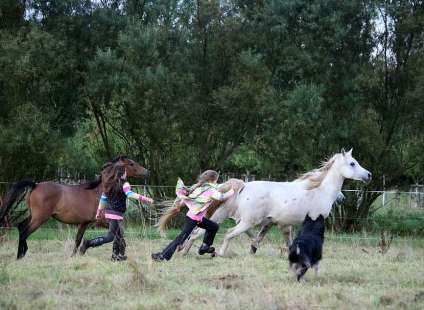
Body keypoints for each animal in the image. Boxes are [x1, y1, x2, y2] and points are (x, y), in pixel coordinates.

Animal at [0, 155, 150, 260]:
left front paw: (74, 256)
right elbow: (119, 236)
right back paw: (19, 256)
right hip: (39, 218)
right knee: (24, 232)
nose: (147, 172)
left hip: (33, 215)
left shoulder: (84, 223)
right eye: (131, 163)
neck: (102, 191)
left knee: (21, 227)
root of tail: (35, 185)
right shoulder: (102, 221)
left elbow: (78, 240)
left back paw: (22, 253)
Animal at [182, 149, 372, 256]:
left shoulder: (281, 224)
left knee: (198, 232)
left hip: (226, 218)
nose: (369, 175)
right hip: (247, 221)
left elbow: (287, 242)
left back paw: (185, 251)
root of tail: (244, 186)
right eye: (352, 163)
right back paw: (218, 253)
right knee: (228, 233)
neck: (320, 191)